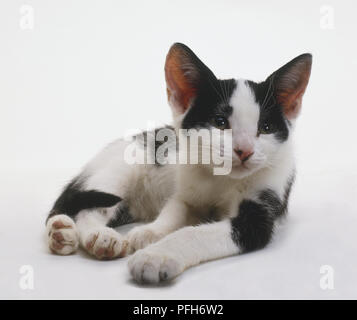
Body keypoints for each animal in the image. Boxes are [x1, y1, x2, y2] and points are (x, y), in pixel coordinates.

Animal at [46, 42, 310, 282]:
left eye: (265, 128)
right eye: (220, 122)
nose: (244, 151)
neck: (222, 179)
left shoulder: (261, 214)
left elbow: (195, 233)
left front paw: (156, 255)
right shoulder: (186, 190)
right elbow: (175, 209)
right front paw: (151, 231)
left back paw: (63, 232)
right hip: (118, 169)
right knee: (87, 205)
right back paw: (95, 235)